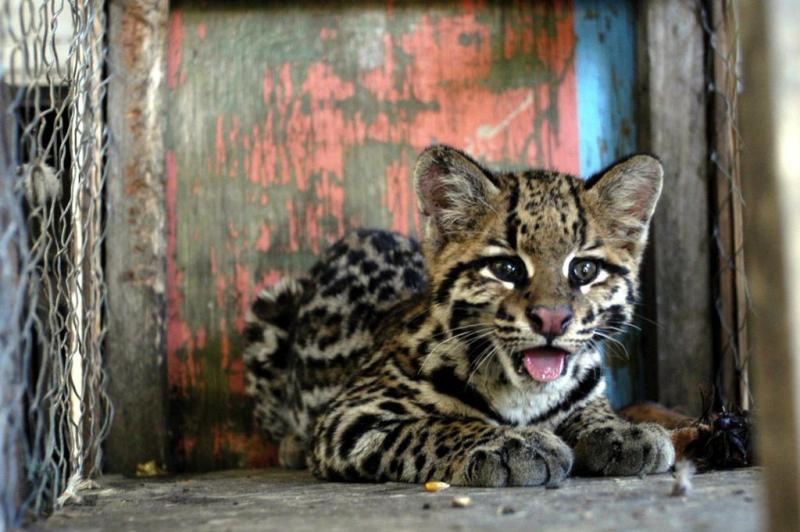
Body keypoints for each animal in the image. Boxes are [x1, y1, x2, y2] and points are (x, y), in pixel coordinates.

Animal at [244, 143, 676, 484]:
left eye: (584, 270)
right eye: (507, 268)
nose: (552, 319)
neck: (524, 395)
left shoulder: (586, 389)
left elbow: (591, 409)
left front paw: (625, 432)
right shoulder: (350, 415)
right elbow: (437, 426)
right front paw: (511, 444)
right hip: (270, 307)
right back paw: (291, 445)